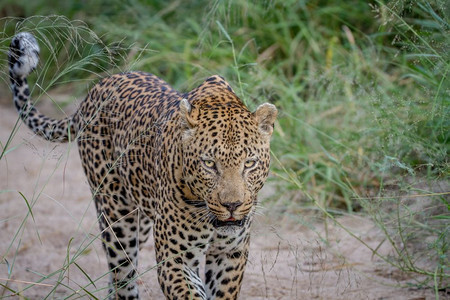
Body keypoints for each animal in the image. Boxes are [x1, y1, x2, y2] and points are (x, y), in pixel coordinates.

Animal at [7, 31, 278, 298]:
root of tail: (97, 89)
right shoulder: (175, 259)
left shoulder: (229, 255)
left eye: (249, 163)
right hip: (116, 214)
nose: (232, 205)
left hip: (143, 218)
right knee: (122, 274)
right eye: (210, 164)